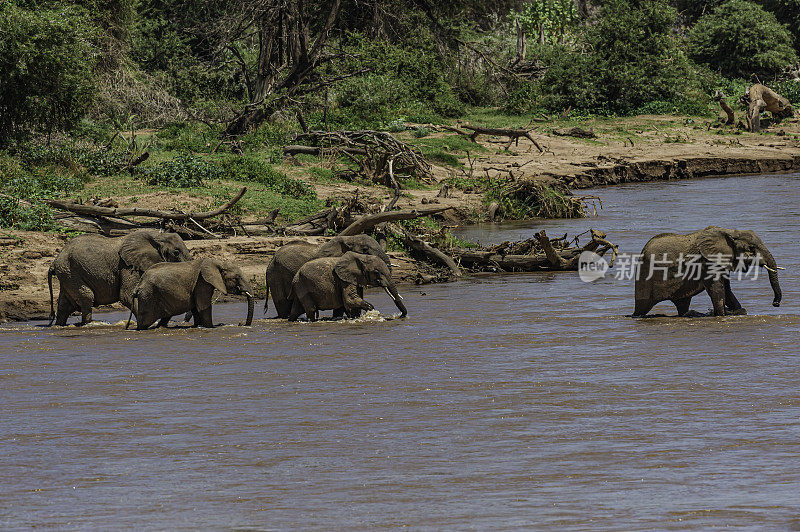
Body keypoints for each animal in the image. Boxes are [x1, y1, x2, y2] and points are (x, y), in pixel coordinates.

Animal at [48, 229, 192, 324]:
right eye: (176, 252)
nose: (185, 320)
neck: (157, 236)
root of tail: (55, 261)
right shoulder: (127, 266)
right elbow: (126, 295)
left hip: (67, 273)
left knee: (64, 305)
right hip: (71, 271)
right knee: (87, 297)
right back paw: (87, 324)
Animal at [126, 256, 255, 328]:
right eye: (237, 277)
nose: (241, 323)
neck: (217, 262)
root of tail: (138, 286)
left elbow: (195, 308)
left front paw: (198, 326)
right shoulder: (202, 282)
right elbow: (204, 307)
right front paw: (211, 327)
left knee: (165, 318)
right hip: (148, 296)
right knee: (145, 321)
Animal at [636, 224, 784, 316]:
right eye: (751, 248)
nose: (775, 303)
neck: (729, 232)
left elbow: (727, 289)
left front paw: (737, 311)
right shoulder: (707, 262)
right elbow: (717, 288)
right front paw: (721, 314)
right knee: (641, 308)